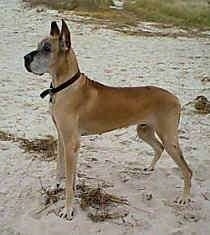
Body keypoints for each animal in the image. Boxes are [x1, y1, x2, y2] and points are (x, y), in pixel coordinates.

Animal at [23, 20, 193, 220]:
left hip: (169, 137)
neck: (64, 86)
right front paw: (56, 186)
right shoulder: (62, 138)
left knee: (187, 169)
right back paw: (149, 168)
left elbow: (69, 182)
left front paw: (68, 209)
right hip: (144, 130)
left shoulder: (71, 142)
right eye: (39, 46)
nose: (25, 58)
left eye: (47, 48)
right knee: (159, 148)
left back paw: (184, 198)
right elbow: (60, 167)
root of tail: (176, 98)